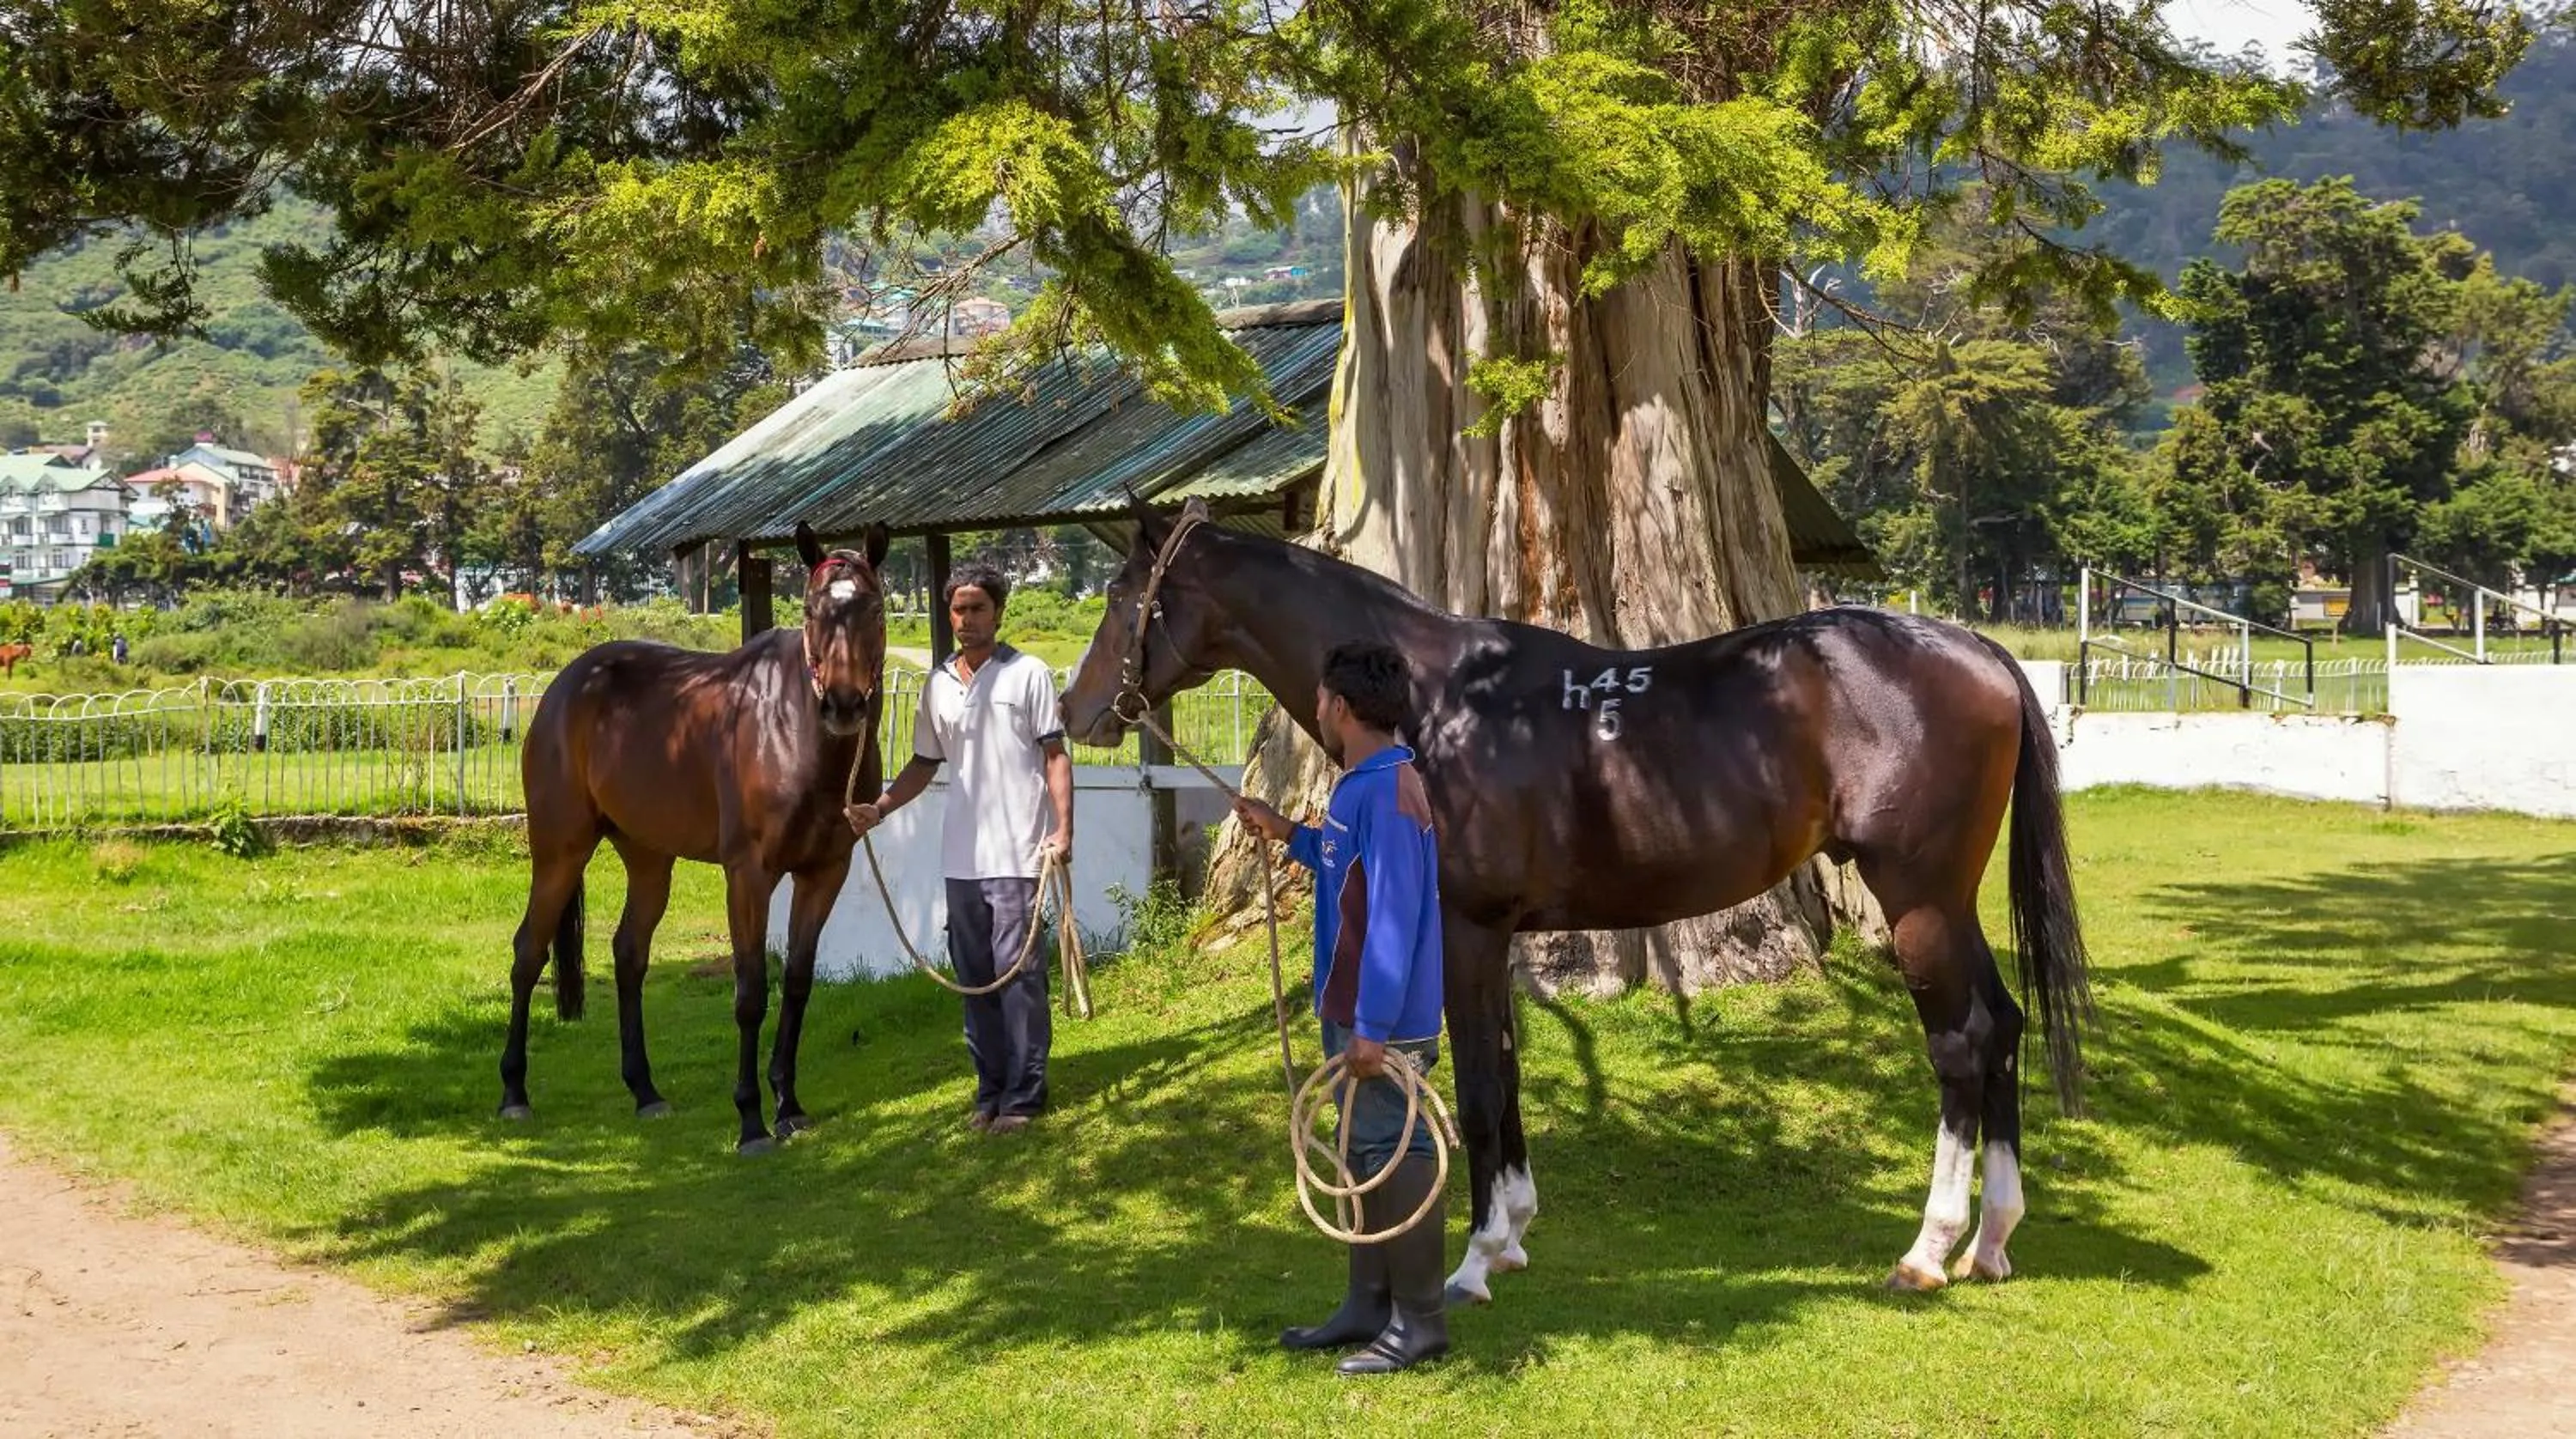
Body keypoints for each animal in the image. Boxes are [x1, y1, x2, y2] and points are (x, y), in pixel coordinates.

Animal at [500, 521, 892, 1154]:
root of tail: (567, 686)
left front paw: (789, 1106)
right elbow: (751, 992)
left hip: (649, 859)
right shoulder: (749, 876)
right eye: (811, 611)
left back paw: (645, 1092)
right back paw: (514, 1093)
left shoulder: (825, 872)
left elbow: (799, 982)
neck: (794, 731)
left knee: (628, 954)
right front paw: (752, 1120)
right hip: (560, 851)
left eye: (875, 610)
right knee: (528, 953)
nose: (842, 705)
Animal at [1059, 497, 2093, 1303]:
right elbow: (1511, 1072)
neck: (1437, 702)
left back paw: (1928, 1249)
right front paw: (1514, 1232)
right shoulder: (1500, 939)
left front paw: (1475, 1260)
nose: (1074, 712)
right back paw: (1993, 1240)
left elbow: (1480, 1086)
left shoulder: (1468, 931)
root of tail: (1978, 648)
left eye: (1121, 598)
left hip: (1917, 900)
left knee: (1961, 1042)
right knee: (2002, 1025)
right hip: (1948, 906)